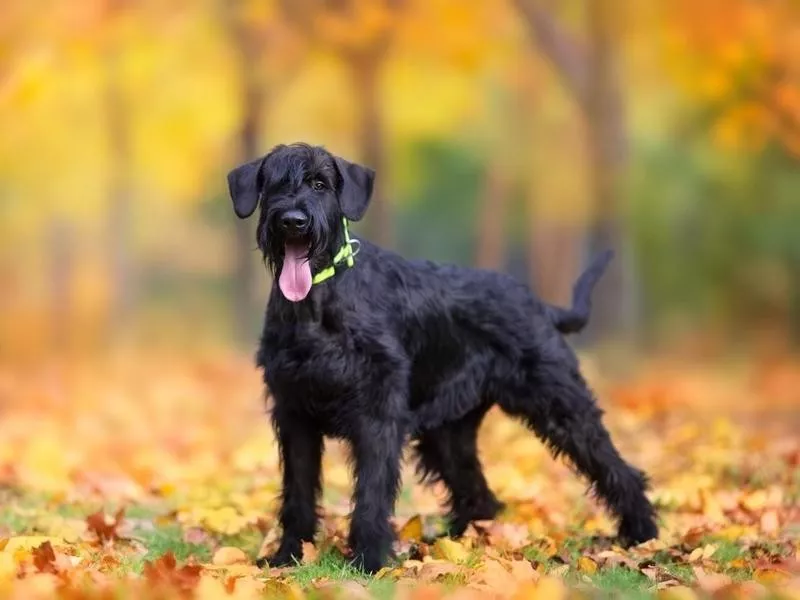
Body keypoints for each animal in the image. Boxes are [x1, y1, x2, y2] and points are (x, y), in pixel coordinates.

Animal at [225, 141, 656, 572]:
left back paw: (642, 536)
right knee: (479, 495)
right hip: (447, 433)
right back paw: (456, 545)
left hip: (561, 405)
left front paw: (369, 561)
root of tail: (540, 305)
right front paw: (288, 556)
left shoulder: (377, 416)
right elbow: (297, 491)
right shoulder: (294, 414)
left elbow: (372, 492)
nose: (293, 221)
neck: (317, 302)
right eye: (274, 183)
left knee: (617, 468)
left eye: (319, 184)